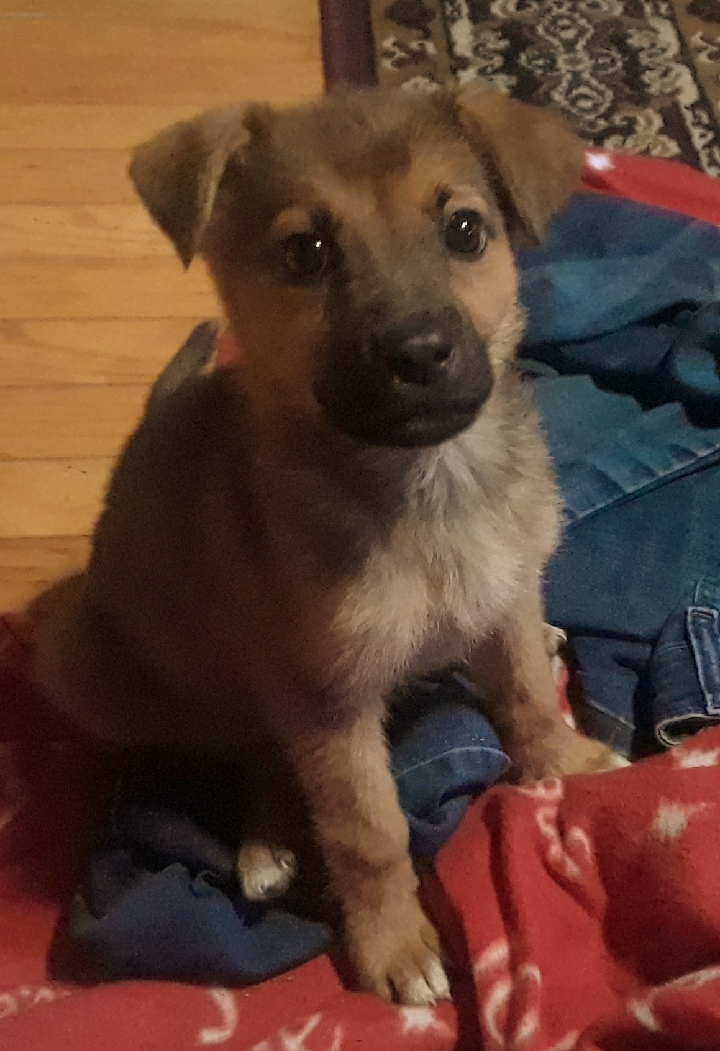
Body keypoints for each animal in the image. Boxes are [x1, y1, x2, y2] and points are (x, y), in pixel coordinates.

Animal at [29, 88, 618, 1008]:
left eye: (465, 230)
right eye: (304, 252)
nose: (420, 352)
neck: (427, 484)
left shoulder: (507, 592)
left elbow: (524, 690)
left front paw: (569, 762)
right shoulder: (327, 694)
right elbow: (368, 826)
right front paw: (394, 943)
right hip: (89, 663)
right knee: (246, 748)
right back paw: (266, 845)